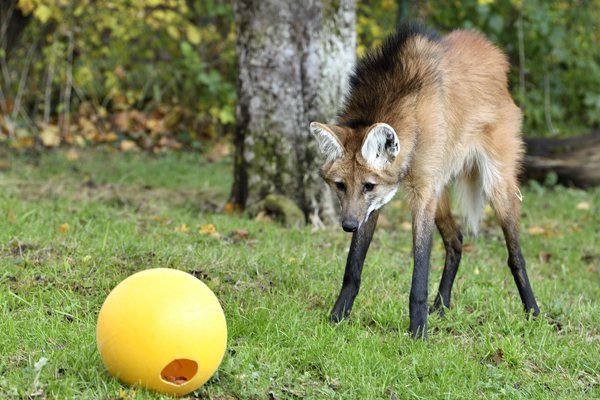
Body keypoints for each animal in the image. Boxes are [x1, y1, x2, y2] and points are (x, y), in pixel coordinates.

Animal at [312, 23, 540, 340]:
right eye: (340, 185)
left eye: (368, 185)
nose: (348, 226)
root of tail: (492, 50)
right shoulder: (374, 206)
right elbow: (353, 267)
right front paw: (337, 317)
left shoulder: (418, 194)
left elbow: (419, 273)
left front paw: (418, 332)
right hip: (440, 189)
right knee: (456, 241)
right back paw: (441, 306)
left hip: (495, 183)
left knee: (514, 254)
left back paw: (534, 312)